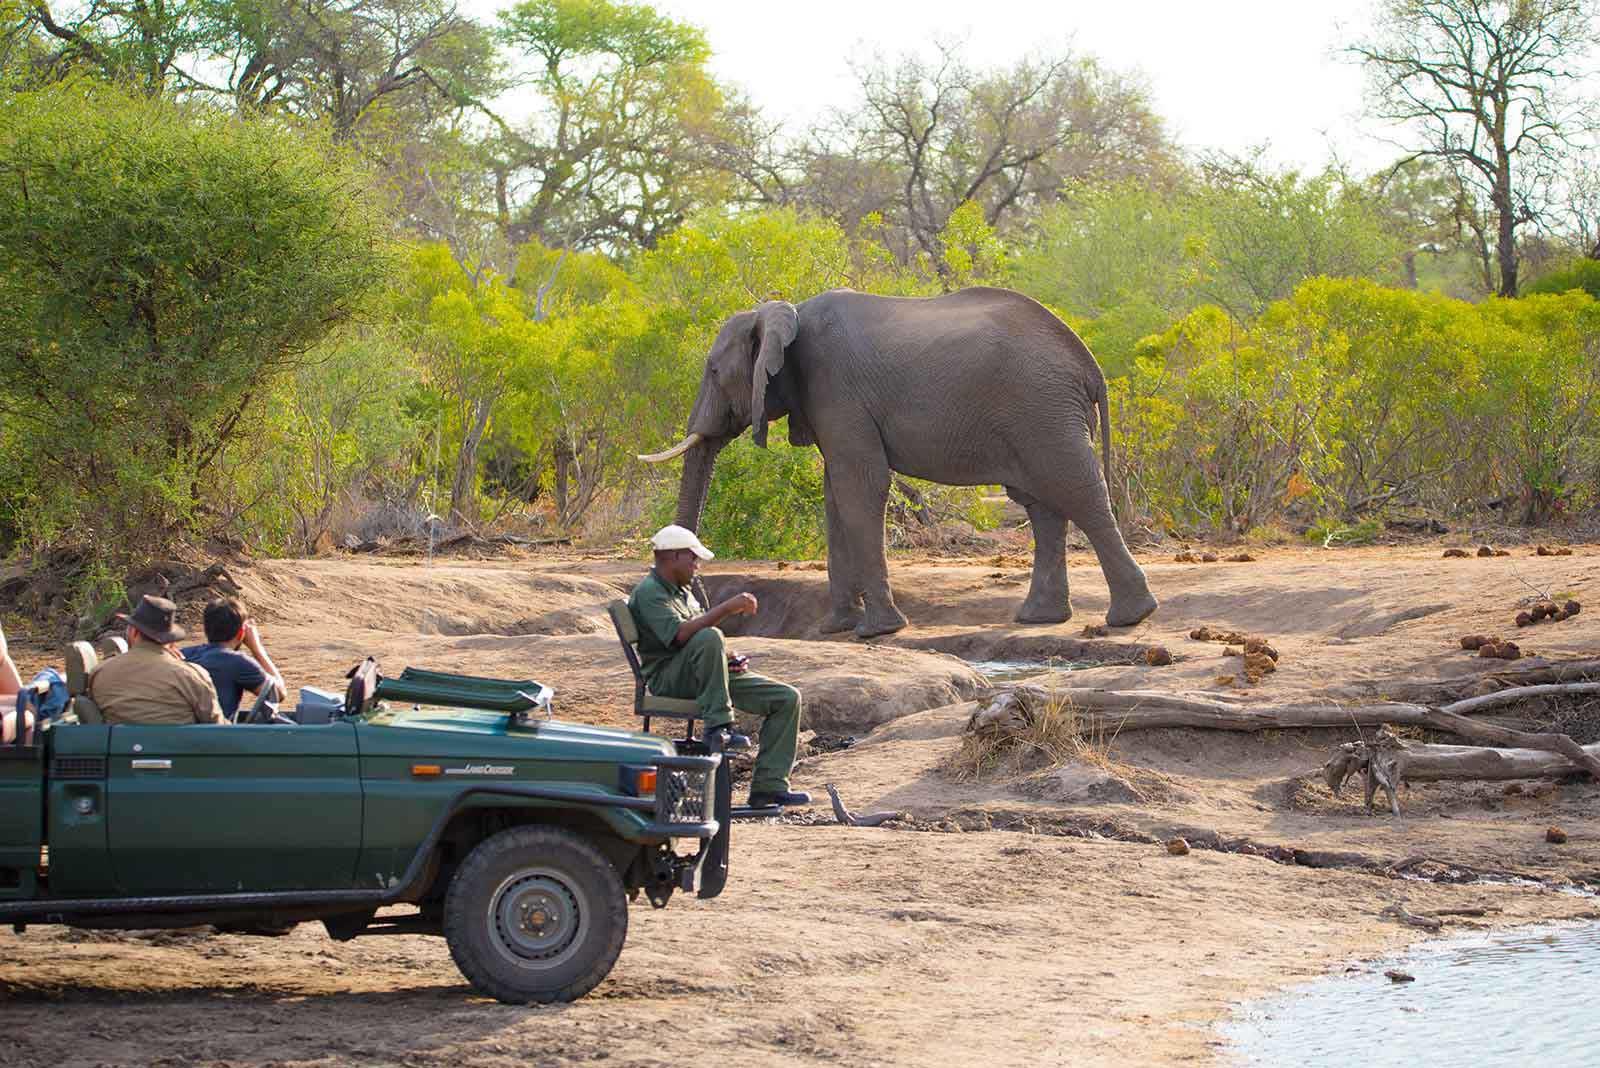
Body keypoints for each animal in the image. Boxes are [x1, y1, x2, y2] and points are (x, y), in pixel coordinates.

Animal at [640, 286, 1164, 633]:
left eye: (712, 371)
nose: (699, 599)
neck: (782, 311)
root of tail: (1090, 365)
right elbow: (836, 495)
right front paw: (836, 628)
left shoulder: (837, 389)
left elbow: (860, 487)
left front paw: (878, 630)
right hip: (1038, 411)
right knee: (1042, 505)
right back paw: (1040, 618)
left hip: (1042, 408)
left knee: (1076, 490)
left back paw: (1130, 617)